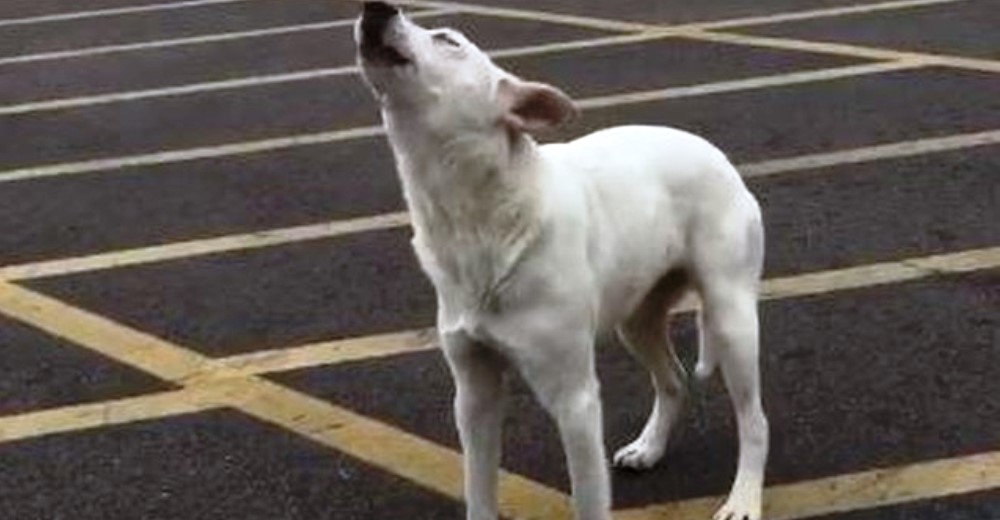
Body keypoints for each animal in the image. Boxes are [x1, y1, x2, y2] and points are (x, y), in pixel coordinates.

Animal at [356, 2, 768, 516]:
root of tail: (717, 155)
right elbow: (478, 490)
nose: (375, 8)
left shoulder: (575, 401)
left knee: (755, 421)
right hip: (635, 321)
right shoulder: (473, 394)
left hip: (732, 320)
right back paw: (649, 447)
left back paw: (744, 497)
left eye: (448, 40)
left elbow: (587, 500)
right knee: (672, 380)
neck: (482, 216)